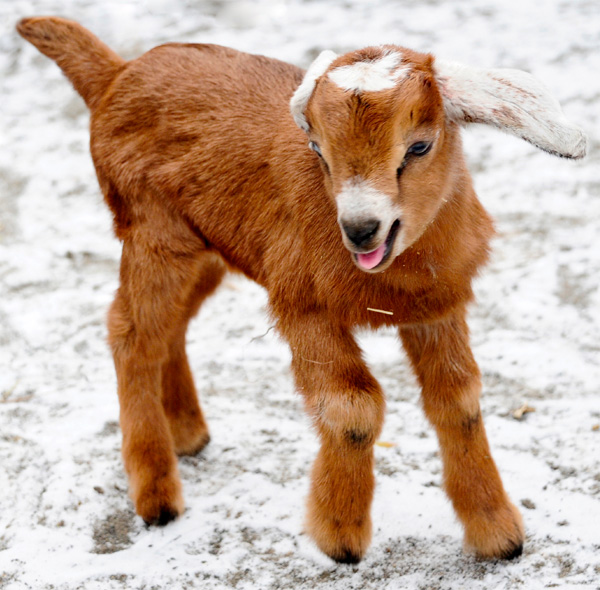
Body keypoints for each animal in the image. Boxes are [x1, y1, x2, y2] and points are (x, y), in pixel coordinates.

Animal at [17, 16, 584, 568]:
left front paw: (499, 536)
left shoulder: (434, 308)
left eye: (420, 146)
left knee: (167, 327)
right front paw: (340, 538)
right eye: (318, 151)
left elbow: (458, 402)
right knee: (131, 334)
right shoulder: (304, 303)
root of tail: (116, 73)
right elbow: (353, 409)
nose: (361, 229)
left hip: (206, 248)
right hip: (153, 232)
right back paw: (157, 497)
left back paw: (188, 434)